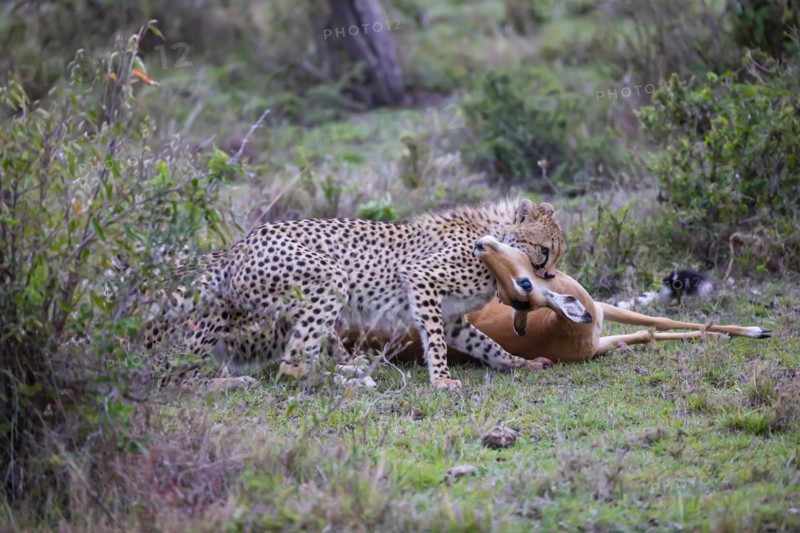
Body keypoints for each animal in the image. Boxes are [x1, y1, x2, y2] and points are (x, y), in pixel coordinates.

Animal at [143, 197, 566, 390]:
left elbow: (486, 344)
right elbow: (436, 343)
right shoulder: (420, 279)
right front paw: (443, 381)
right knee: (289, 368)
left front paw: (519, 363)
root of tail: (237, 246)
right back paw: (349, 382)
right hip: (330, 279)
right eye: (544, 250)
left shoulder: (453, 318)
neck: (494, 239)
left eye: (555, 255)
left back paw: (352, 369)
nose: (548, 275)